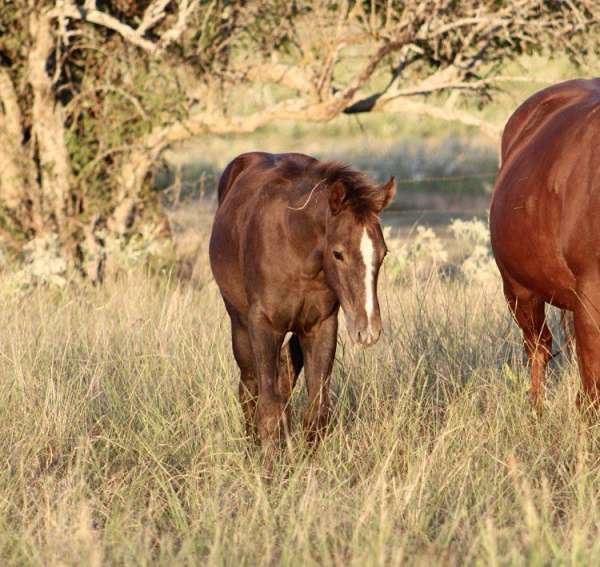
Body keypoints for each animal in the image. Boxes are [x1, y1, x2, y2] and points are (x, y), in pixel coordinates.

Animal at [209, 153, 396, 450]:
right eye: (338, 253)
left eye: (383, 252)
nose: (367, 330)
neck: (295, 247)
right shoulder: (264, 326)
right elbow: (268, 408)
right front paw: (268, 463)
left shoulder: (321, 326)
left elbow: (317, 410)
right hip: (239, 323)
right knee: (249, 388)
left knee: (284, 375)